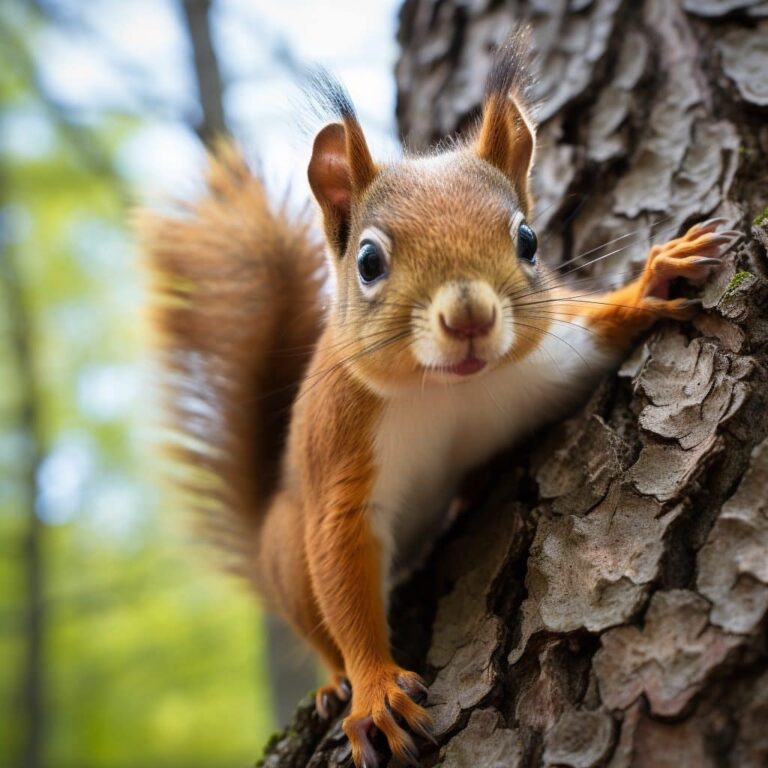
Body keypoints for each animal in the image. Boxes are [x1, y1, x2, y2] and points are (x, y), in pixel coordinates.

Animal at [140, 35, 739, 768]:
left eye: (528, 240)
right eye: (368, 261)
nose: (470, 316)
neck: (452, 391)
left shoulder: (551, 360)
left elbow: (601, 335)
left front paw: (657, 277)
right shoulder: (344, 459)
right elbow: (343, 571)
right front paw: (374, 689)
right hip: (285, 549)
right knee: (314, 622)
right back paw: (333, 683)